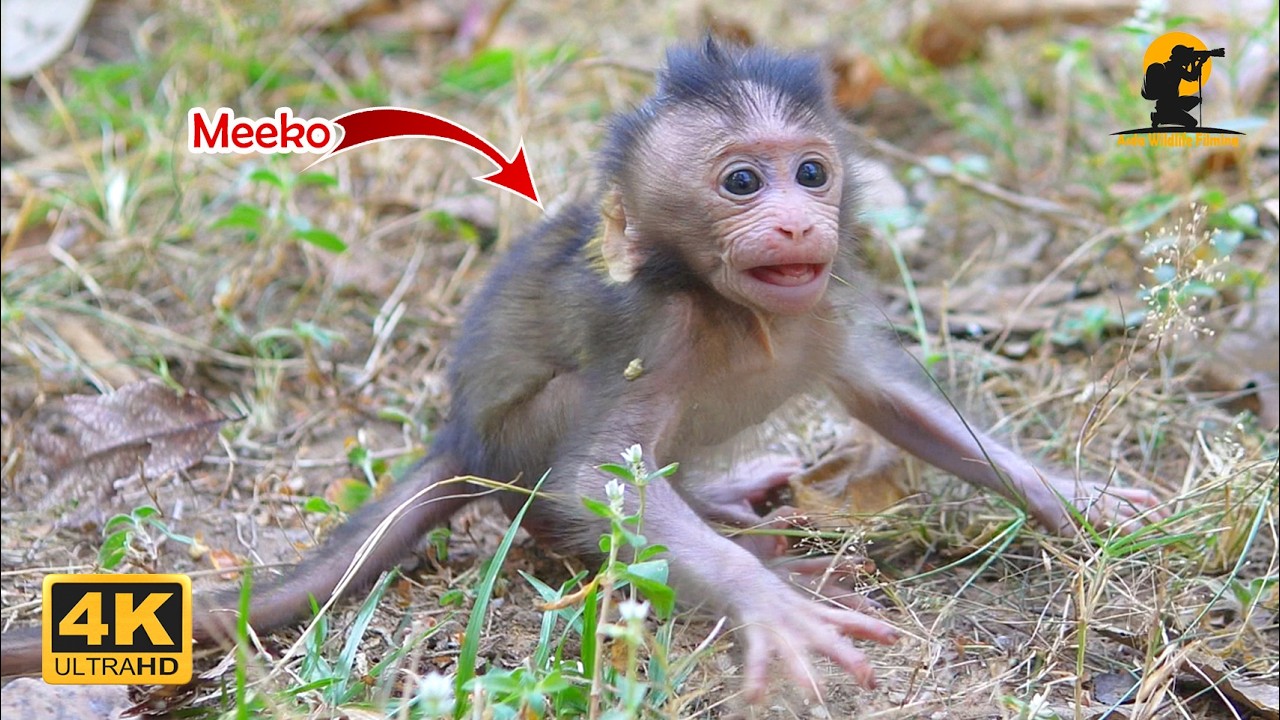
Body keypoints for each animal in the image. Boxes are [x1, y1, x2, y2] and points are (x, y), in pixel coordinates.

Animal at [0, 39, 1165, 700]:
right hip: (515, 436)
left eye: (812, 172)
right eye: (741, 182)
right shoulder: (661, 326)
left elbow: (906, 409)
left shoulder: (829, 307)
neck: (739, 314)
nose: (798, 219)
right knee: (559, 485)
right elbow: (595, 477)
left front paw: (1080, 499)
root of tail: (458, 435)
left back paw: (722, 501)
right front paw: (772, 610)